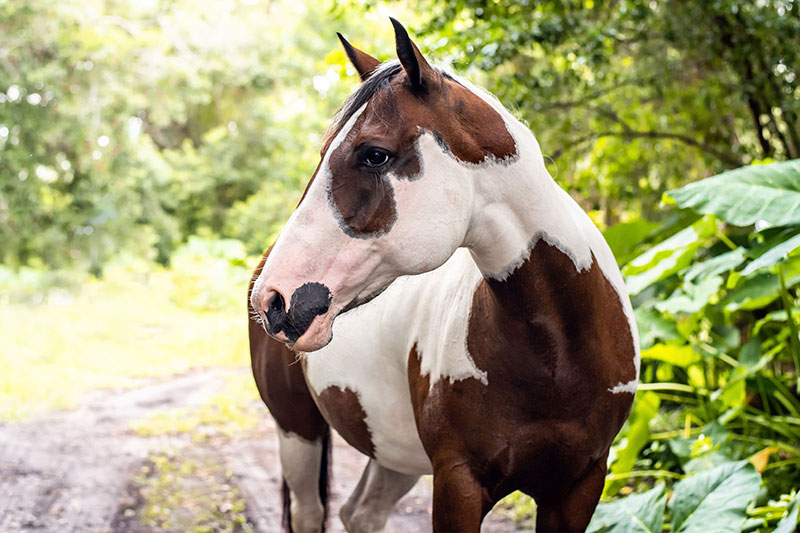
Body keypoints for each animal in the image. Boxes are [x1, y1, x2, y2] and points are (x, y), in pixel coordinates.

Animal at [248, 18, 639, 532]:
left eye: (374, 154)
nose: (272, 299)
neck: (559, 356)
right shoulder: (458, 481)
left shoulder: (580, 485)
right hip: (297, 431)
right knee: (312, 512)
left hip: (391, 452)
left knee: (361, 513)